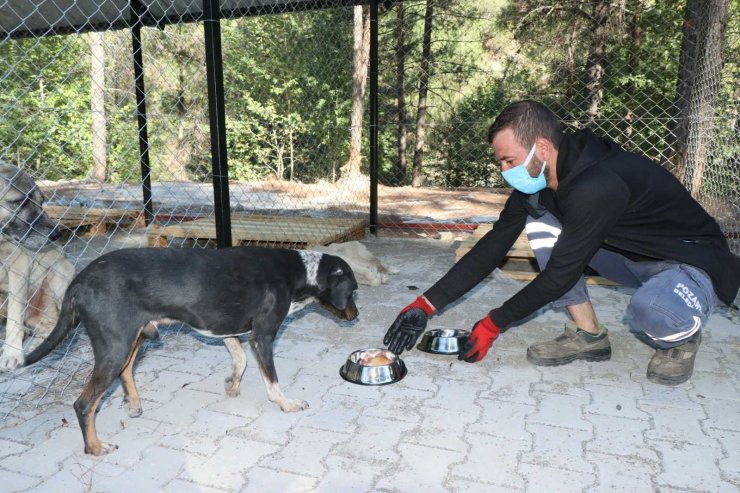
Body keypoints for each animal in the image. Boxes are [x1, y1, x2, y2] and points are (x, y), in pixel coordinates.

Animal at [0, 162, 75, 368]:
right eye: (20, 202)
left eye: (41, 202)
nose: (56, 235)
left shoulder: (19, 264)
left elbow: (14, 317)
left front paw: (12, 352)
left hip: (62, 270)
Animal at [23, 245, 358, 454]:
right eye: (353, 291)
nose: (356, 315)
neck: (297, 271)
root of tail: (80, 279)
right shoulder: (262, 337)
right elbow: (272, 381)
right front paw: (287, 404)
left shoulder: (228, 329)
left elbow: (239, 360)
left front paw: (232, 385)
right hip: (115, 346)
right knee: (84, 404)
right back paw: (94, 447)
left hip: (133, 338)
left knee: (126, 371)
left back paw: (134, 404)